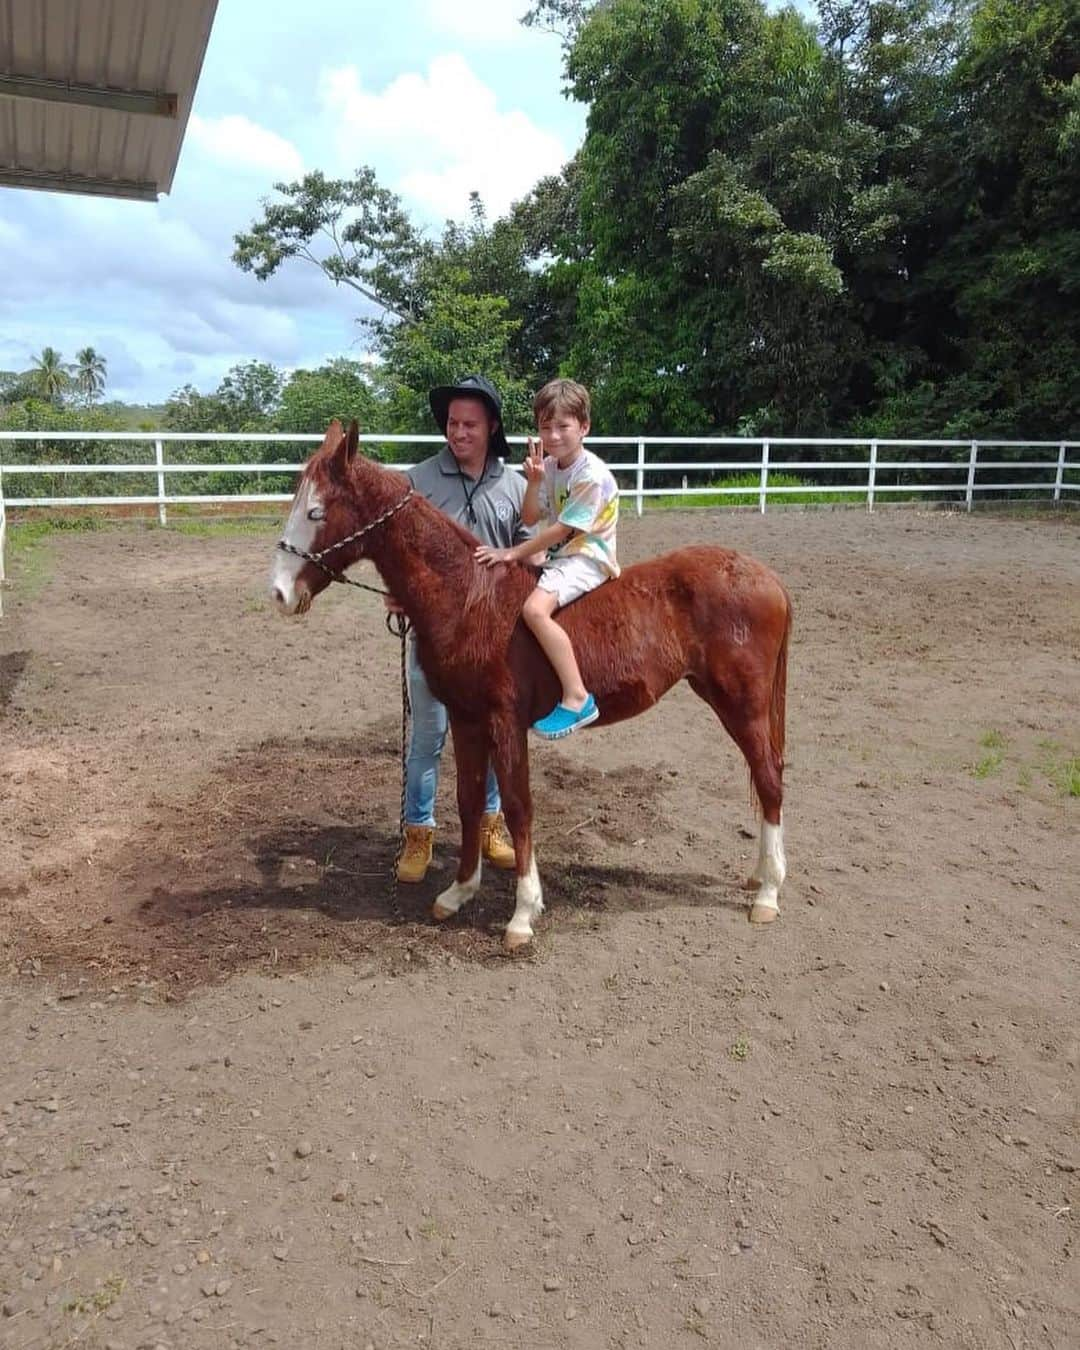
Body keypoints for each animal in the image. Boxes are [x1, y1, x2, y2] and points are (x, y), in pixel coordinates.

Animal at [270, 421, 793, 950]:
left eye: (316, 511)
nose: (279, 593)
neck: (470, 596)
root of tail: (767, 577)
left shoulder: (505, 722)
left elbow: (519, 806)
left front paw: (523, 913)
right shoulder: (467, 720)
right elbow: (469, 802)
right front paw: (458, 893)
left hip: (741, 704)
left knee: (770, 778)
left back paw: (769, 893)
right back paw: (760, 875)